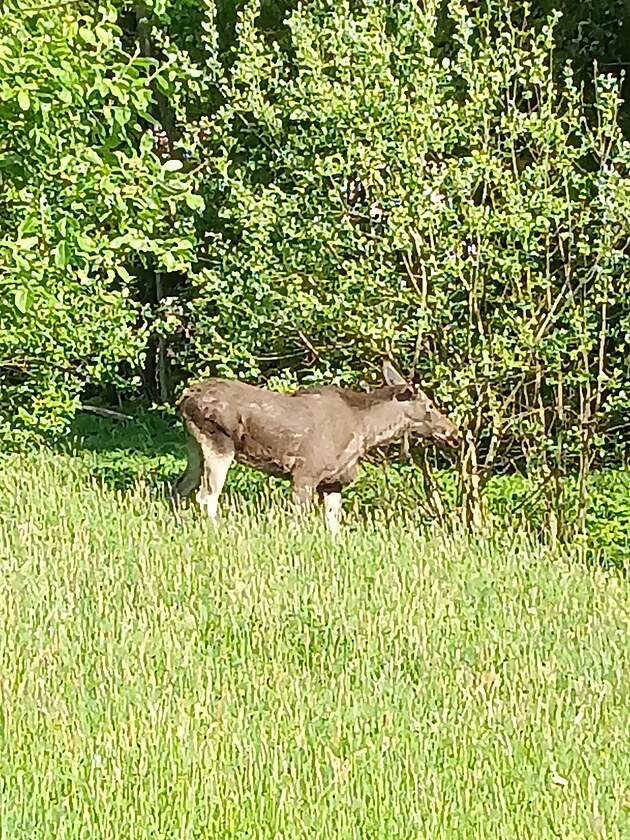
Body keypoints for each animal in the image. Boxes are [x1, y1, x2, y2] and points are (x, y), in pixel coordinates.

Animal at [172, 362, 460, 536]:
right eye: (430, 405)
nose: (453, 431)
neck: (366, 430)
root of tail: (184, 397)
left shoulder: (333, 482)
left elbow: (333, 527)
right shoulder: (305, 473)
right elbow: (297, 519)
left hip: (194, 448)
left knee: (179, 489)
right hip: (218, 443)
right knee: (206, 496)